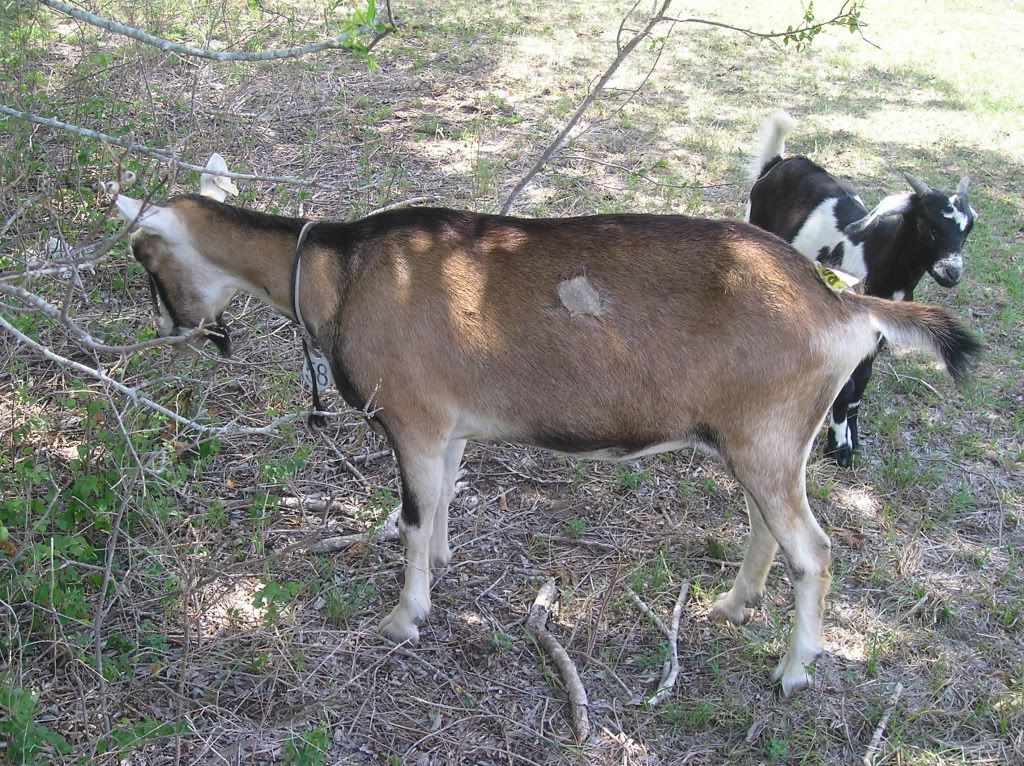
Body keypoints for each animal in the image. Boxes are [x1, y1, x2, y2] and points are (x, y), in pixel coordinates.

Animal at [112, 191, 979, 696]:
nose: (180, 331)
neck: (342, 270)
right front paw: (444, 568)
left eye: (143, 256)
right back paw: (734, 607)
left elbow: (413, 518)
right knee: (769, 529)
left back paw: (793, 671)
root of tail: (842, 309)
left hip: (766, 436)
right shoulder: (447, 424)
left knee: (814, 549)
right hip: (763, 441)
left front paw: (403, 617)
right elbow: (441, 501)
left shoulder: (415, 418)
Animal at [746, 111, 977, 467]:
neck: (878, 257)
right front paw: (838, 445)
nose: (951, 273)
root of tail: (779, 162)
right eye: (929, 226)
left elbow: (862, 383)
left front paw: (851, 437)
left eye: (967, 229)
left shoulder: (877, 335)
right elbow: (848, 385)